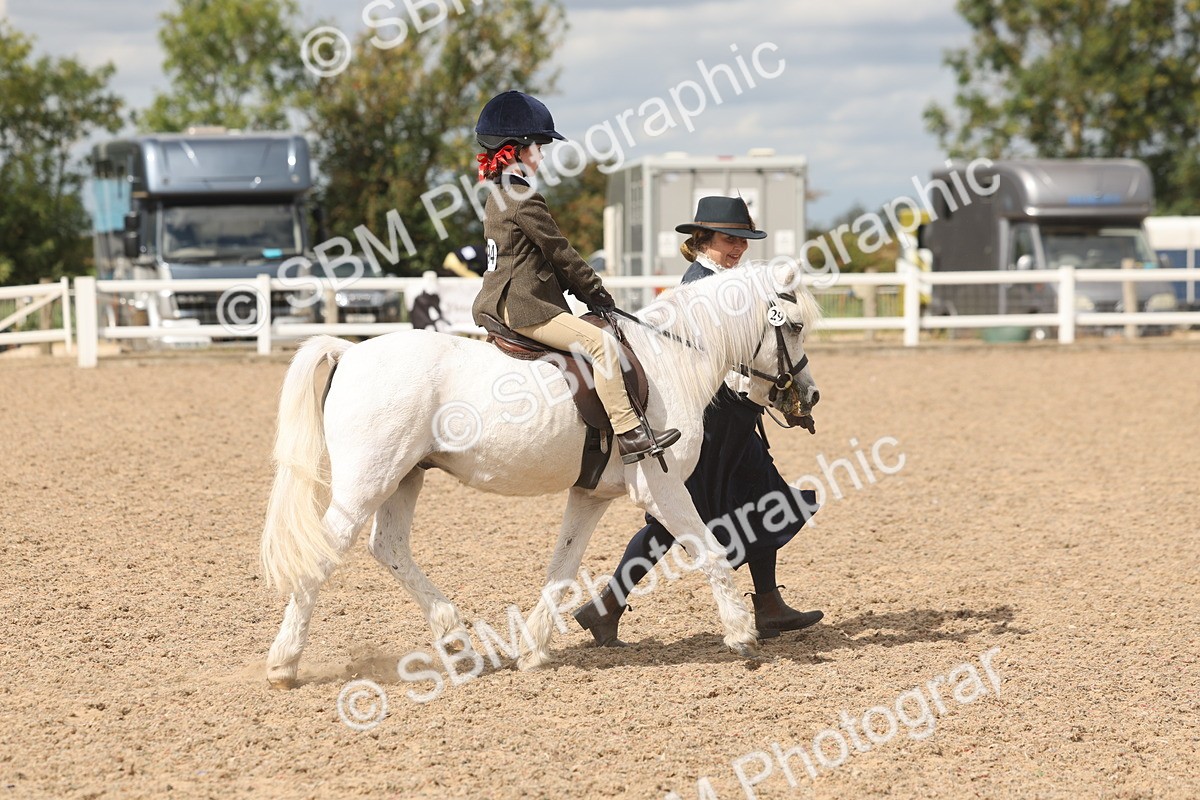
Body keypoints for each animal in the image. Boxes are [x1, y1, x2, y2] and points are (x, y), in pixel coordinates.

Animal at [260, 260, 822, 688]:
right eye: (793, 326)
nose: (809, 396)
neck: (670, 357)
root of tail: (351, 350)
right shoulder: (662, 488)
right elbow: (711, 549)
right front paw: (742, 633)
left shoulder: (592, 496)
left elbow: (562, 570)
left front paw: (533, 649)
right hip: (367, 483)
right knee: (322, 554)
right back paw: (284, 665)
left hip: (404, 478)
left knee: (389, 547)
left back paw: (455, 636)